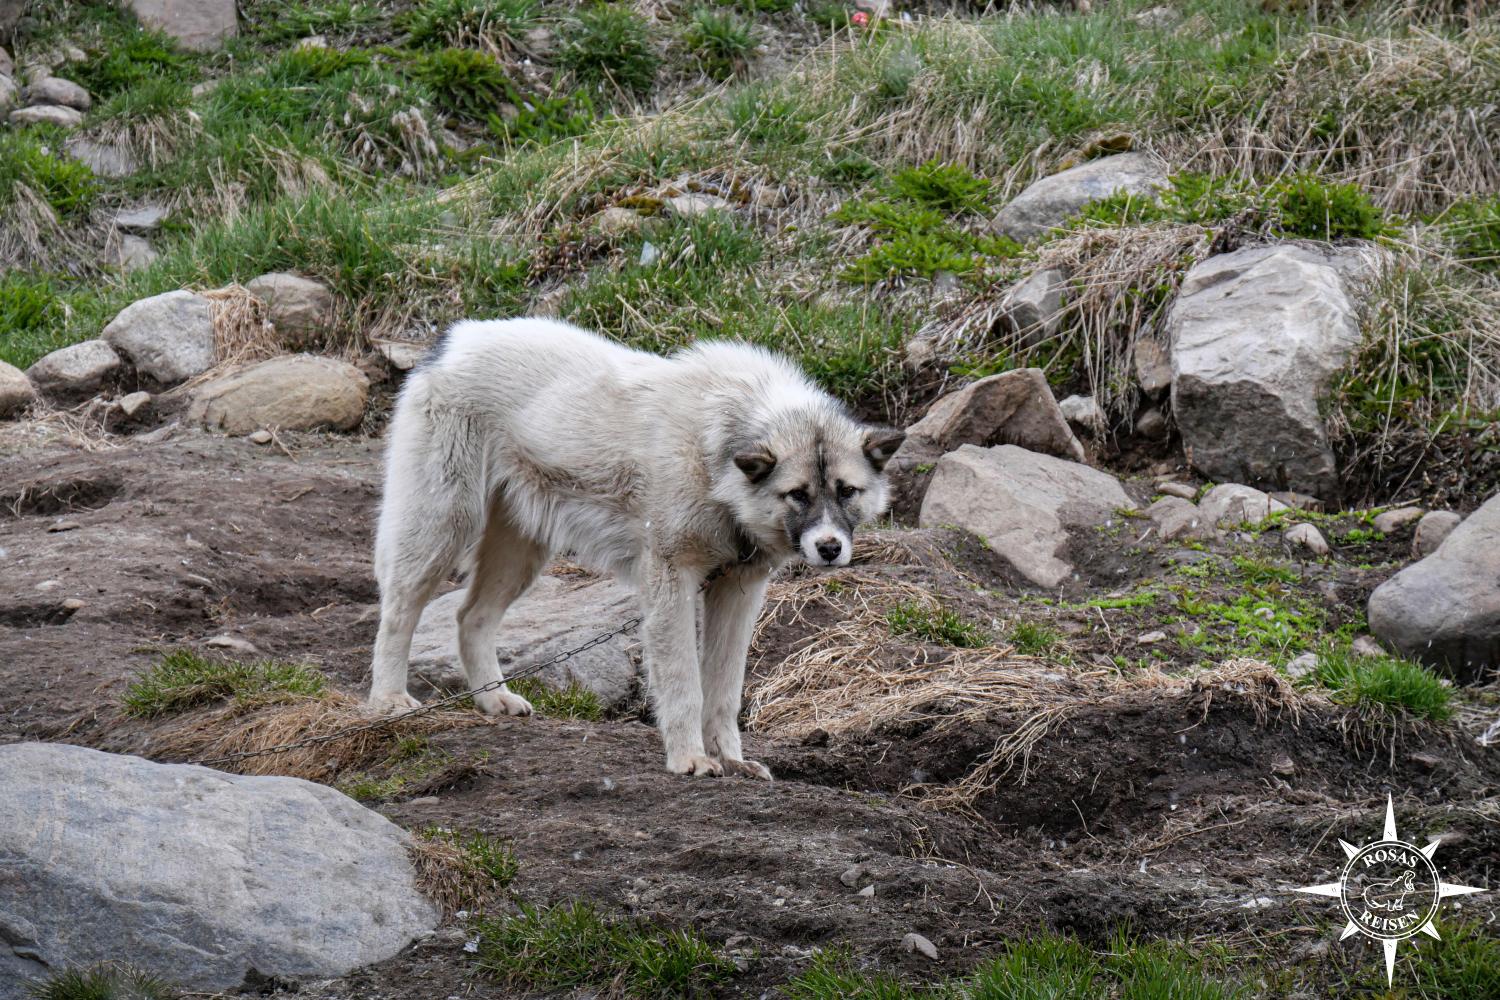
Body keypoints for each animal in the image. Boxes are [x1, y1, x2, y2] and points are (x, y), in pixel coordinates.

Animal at [366, 316, 900, 779]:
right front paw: (690, 759)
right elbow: (685, 683)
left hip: (519, 552)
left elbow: (724, 691)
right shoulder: (671, 581)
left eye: (846, 491)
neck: (718, 455)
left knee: (470, 617)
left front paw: (730, 760)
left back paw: (493, 700)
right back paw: (389, 700)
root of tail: (455, 338)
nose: (829, 548)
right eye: (798, 495)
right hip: (442, 526)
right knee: (398, 610)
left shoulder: (738, 591)